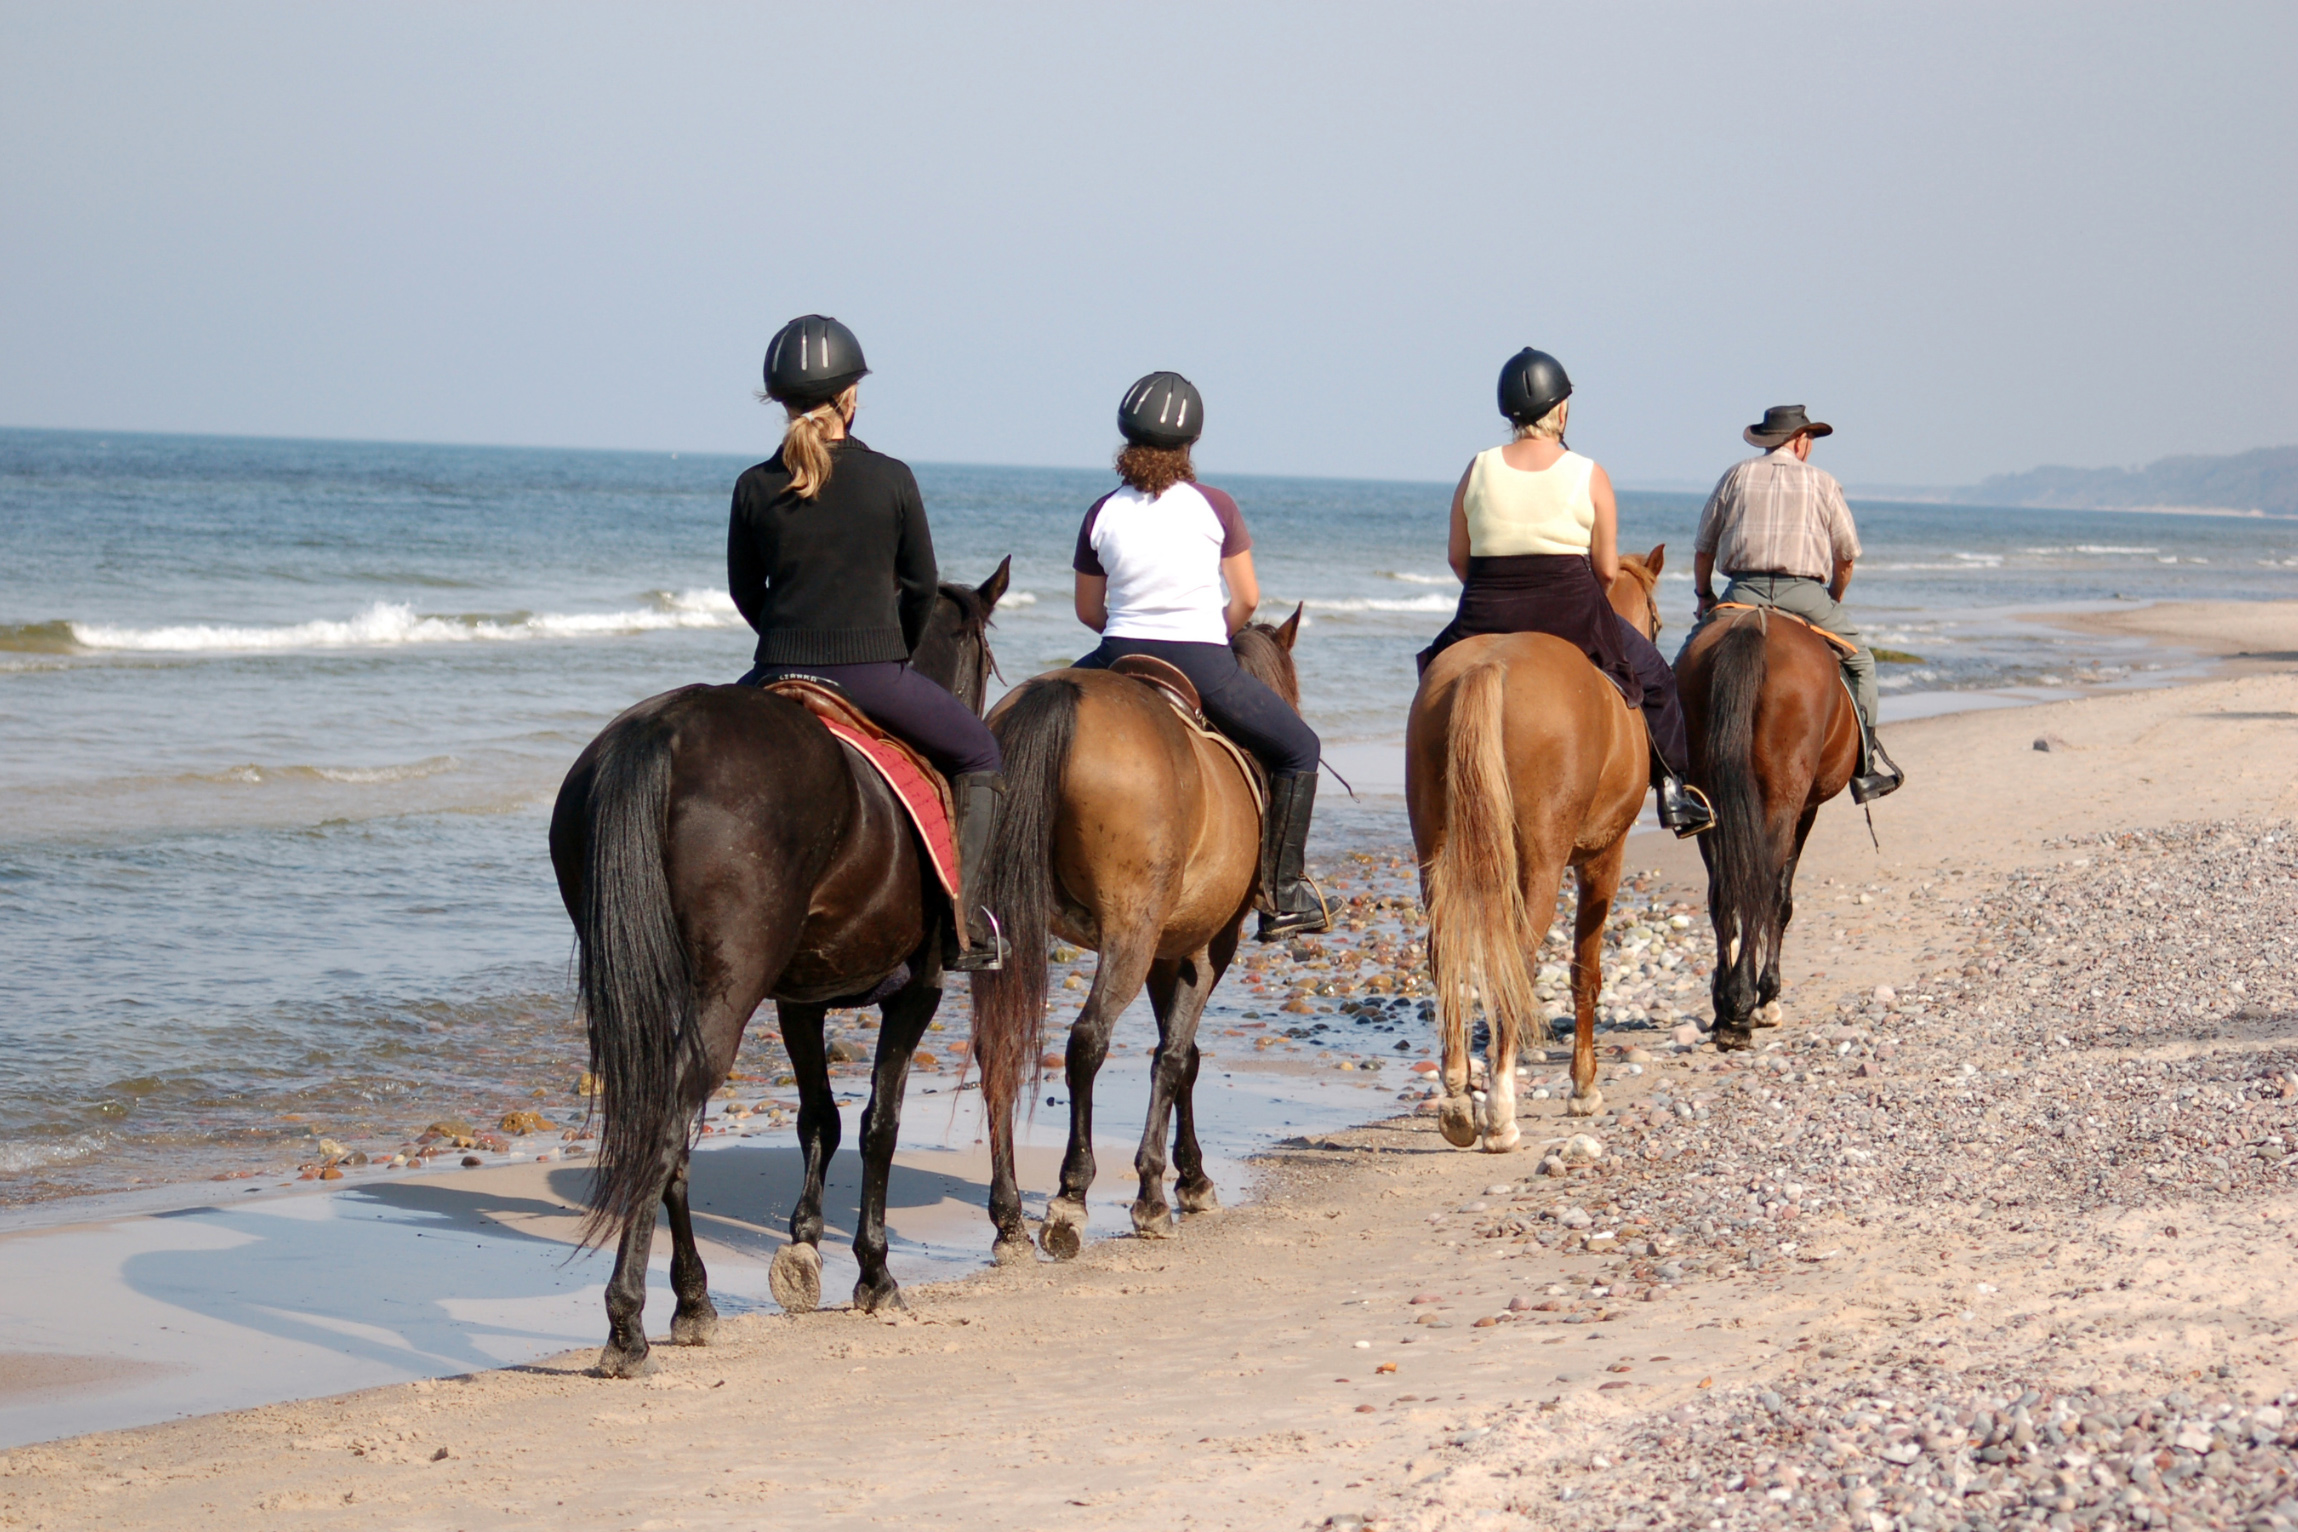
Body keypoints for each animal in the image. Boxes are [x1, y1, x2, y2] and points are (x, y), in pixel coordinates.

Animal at [546, 562, 1006, 1378]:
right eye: (983, 659)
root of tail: (663, 730)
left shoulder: (798, 1000)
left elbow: (819, 1116)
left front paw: (805, 1245)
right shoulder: (917, 991)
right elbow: (879, 1123)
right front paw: (873, 1272)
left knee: (669, 1125)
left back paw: (693, 1301)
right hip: (730, 994)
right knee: (669, 1126)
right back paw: (627, 1324)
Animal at [960, 606, 1305, 1258]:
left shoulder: (1166, 953)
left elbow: (1183, 1053)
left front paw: (1190, 1177)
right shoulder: (1205, 946)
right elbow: (1175, 1056)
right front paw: (1159, 1191)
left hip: (1002, 930)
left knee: (998, 1046)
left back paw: (1009, 1217)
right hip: (1129, 932)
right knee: (1087, 1039)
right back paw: (1070, 1196)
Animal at [1397, 551, 1672, 1148]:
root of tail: (1489, 666)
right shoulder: (1604, 859)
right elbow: (1585, 970)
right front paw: (1584, 1088)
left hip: (1434, 851)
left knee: (1445, 952)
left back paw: (1458, 1101)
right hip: (1542, 865)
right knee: (1515, 960)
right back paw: (1500, 1112)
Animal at [1672, 606, 1865, 1047]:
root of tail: (1752, 624)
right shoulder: (1806, 809)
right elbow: (1781, 897)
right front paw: (1768, 995)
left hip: (1710, 800)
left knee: (1723, 892)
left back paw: (1725, 1006)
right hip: (1783, 799)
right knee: (1762, 886)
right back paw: (1745, 1002)